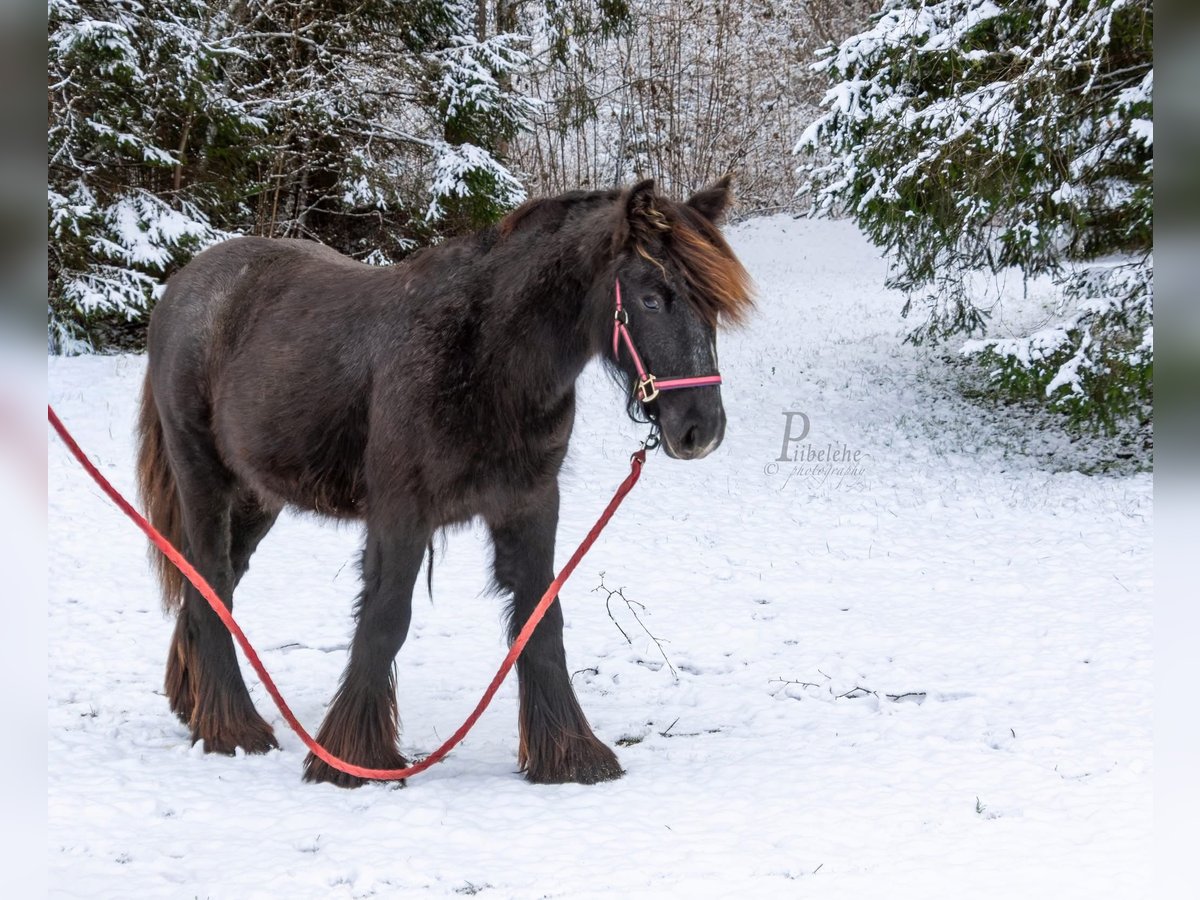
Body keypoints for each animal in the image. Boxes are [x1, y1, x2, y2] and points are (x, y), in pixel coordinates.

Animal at [135, 177, 753, 787]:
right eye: (650, 297)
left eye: (711, 306)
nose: (701, 429)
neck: (484, 359)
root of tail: (184, 286)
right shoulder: (401, 513)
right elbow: (386, 620)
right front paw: (353, 760)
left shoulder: (529, 505)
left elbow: (541, 621)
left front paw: (570, 756)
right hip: (204, 479)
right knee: (210, 579)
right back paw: (233, 729)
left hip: (258, 497)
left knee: (214, 583)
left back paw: (196, 706)